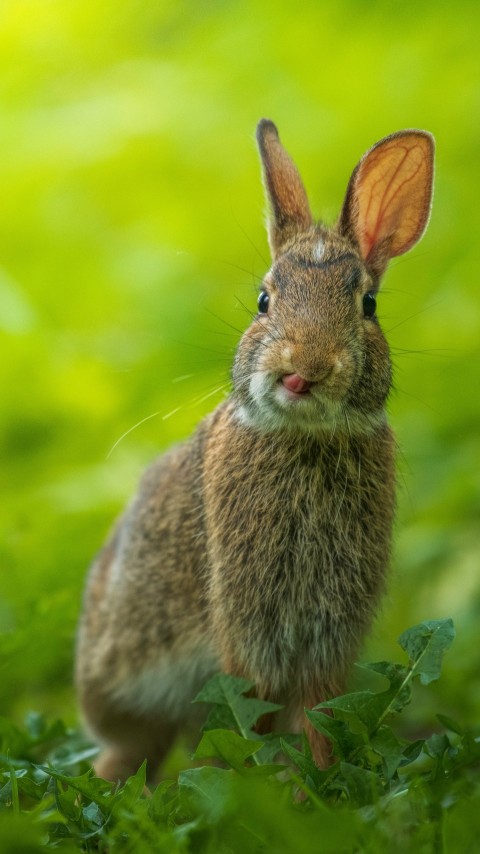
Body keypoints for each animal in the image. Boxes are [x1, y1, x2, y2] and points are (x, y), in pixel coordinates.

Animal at [76, 119, 435, 782]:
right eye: (265, 301)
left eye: (368, 305)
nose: (303, 370)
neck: (305, 439)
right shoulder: (250, 629)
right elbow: (255, 713)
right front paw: (258, 788)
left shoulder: (327, 636)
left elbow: (319, 714)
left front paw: (317, 786)